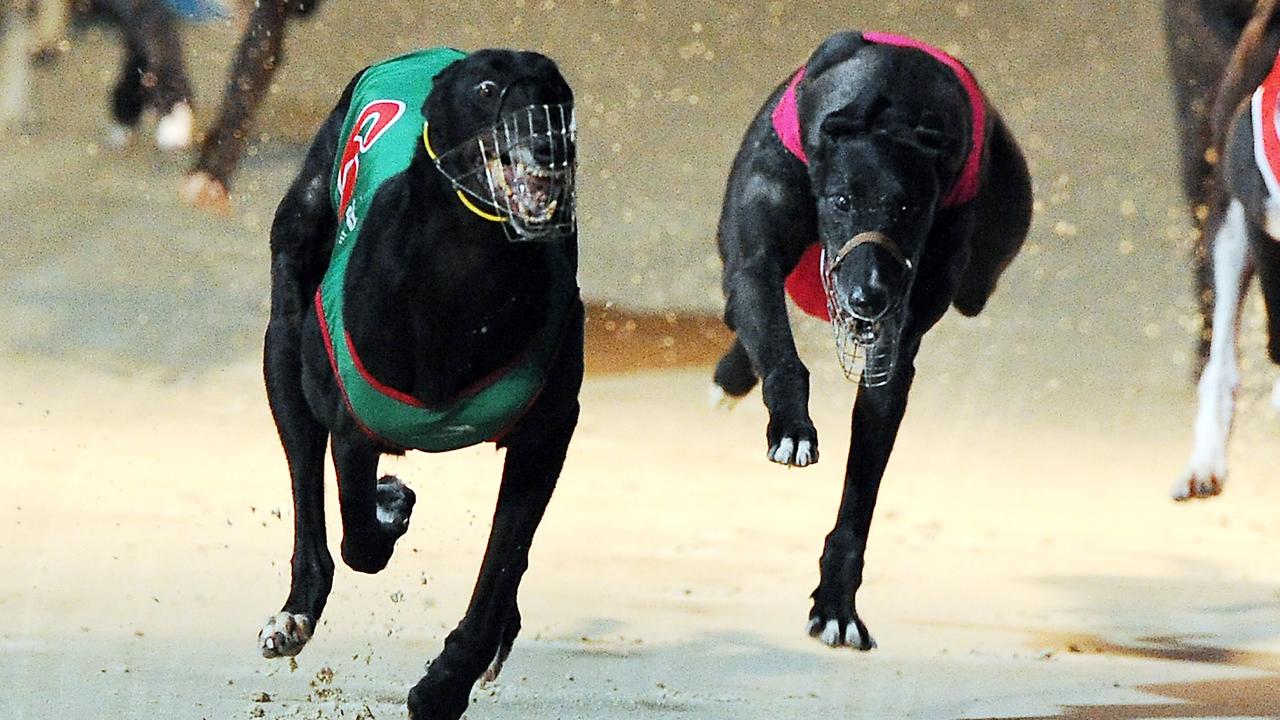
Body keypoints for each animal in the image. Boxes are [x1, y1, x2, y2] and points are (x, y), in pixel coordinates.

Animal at [262, 47, 583, 712]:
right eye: (486, 89)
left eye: (558, 94)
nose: (550, 146)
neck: (464, 278)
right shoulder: (353, 429)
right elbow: (360, 538)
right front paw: (390, 504)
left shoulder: (546, 433)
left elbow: (502, 563)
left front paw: (445, 683)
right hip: (286, 341)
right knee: (311, 502)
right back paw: (295, 613)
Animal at [711, 30, 1029, 648]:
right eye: (841, 200)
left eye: (911, 206)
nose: (869, 297)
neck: (889, 103)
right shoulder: (757, 255)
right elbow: (774, 334)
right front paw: (792, 427)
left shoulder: (897, 347)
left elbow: (864, 481)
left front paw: (836, 603)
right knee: (745, 313)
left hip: (983, 270)